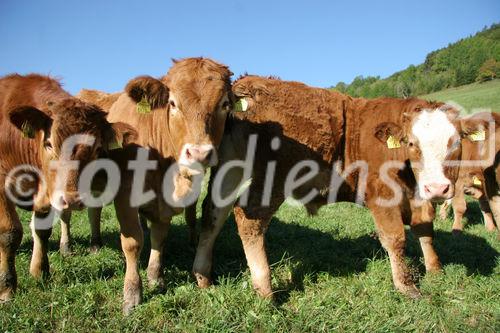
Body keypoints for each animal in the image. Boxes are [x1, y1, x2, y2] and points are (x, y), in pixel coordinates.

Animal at [0, 74, 137, 302]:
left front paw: (40, 271)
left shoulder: (47, 193)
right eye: (48, 144)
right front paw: (7, 288)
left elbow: (42, 229)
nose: (72, 200)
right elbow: (9, 233)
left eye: (97, 149)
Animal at [79, 57, 233, 314]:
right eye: (172, 103)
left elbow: (159, 237)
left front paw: (154, 276)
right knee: (94, 211)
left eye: (225, 104)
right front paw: (132, 293)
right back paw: (94, 244)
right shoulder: (125, 197)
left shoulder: (164, 205)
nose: (199, 154)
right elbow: (132, 242)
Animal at [191, 76, 464, 298]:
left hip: (230, 169)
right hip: (272, 181)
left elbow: (424, 229)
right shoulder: (383, 196)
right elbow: (395, 238)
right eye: (412, 143)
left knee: (214, 212)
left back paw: (203, 276)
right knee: (248, 219)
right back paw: (265, 289)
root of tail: (252, 84)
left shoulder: (419, 198)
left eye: (456, 143)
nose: (437, 188)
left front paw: (435, 269)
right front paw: (406, 286)